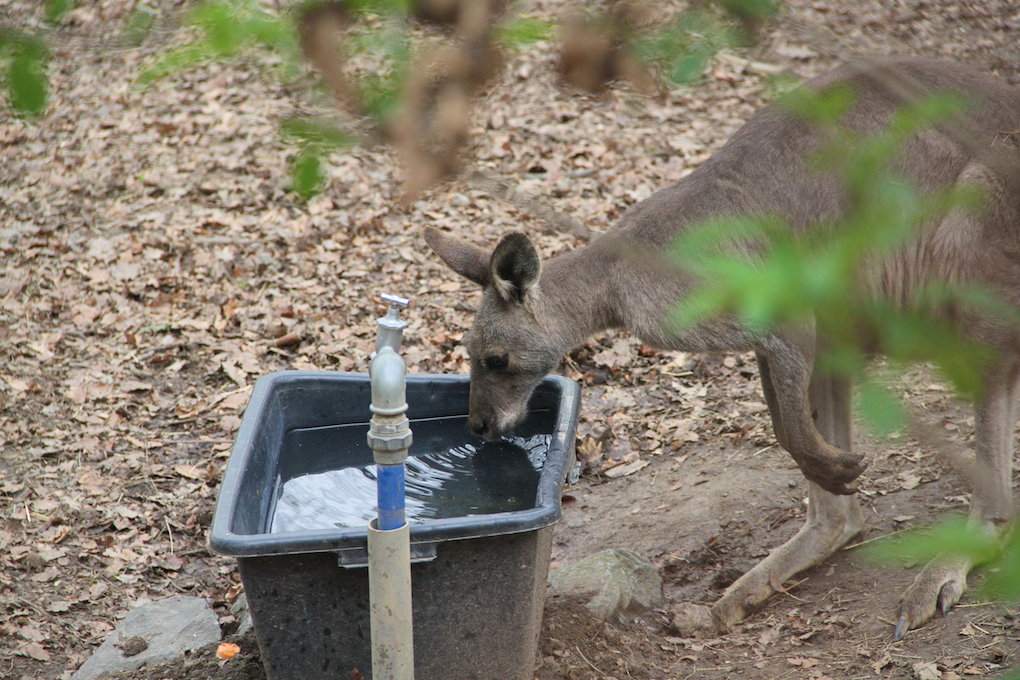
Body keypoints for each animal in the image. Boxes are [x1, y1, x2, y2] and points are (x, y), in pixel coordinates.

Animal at [424, 57, 1020, 639]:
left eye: (496, 361)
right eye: (470, 358)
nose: (477, 426)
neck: (617, 278)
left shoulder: (781, 310)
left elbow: (791, 427)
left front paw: (838, 465)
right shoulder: (779, 329)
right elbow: (785, 427)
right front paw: (837, 468)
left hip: (972, 245)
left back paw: (937, 573)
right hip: (849, 304)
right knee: (843, 519)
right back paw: (732, 601)